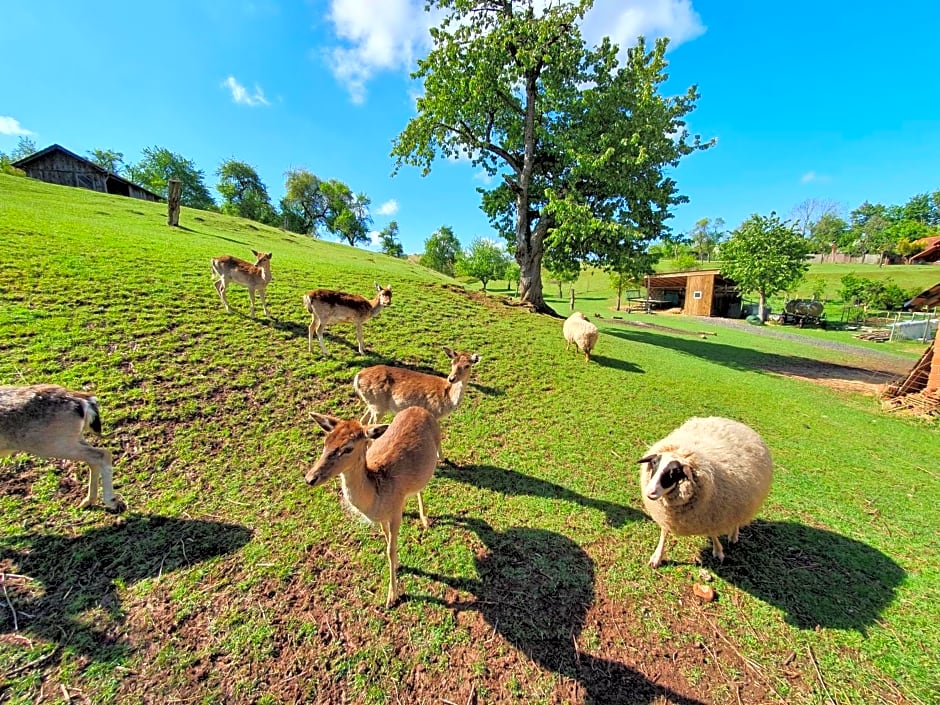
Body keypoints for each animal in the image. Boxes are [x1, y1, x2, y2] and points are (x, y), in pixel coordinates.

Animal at [0, 384, 126, 512]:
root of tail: (84, 401)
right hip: (73, 439)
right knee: (94, 459)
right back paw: (87, 502)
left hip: (52, 445)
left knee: (102, 454)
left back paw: (112, 502)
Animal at [306, 404, 442, 608]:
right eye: (326, 441)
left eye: (348, 448)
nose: (310, 478)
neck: (377, 498)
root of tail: (418, 408)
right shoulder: (382, 518)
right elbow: (386, 541)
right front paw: (398, 565)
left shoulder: (395, 512)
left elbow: (390, 550)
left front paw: (392, 597)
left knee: (422, 486)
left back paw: (425, 519)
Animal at [640, 418, 772, 568]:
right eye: (654, 464)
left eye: (674, 472)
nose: (650, 492)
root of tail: (733, 422)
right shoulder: (667, 516)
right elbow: (664, 532)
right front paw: (657, 556)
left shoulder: (713, 513)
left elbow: (713, 532)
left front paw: (718, 551)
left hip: (742, 502)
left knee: (737, 519)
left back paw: (733, 535)